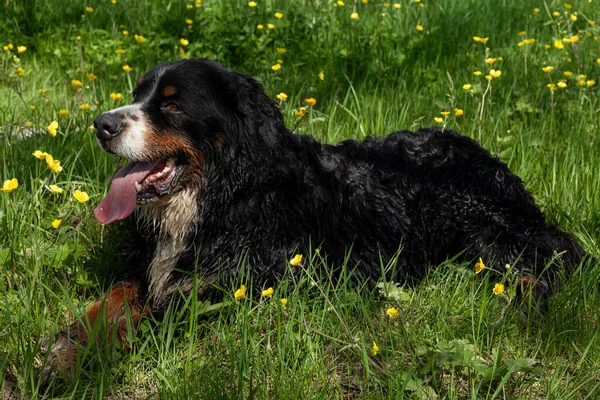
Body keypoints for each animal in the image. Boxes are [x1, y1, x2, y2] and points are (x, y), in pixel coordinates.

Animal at [44, 58, 588, 376]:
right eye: (139, 94)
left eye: (173, 105)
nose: (102, 124)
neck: (227, 195)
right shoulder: (149, 267)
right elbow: (113, 299)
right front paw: (66, 348)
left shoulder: (235, 285)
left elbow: (158, 313)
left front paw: (82, 362)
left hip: (480, 224)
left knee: (553, 252)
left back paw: (521, 304)